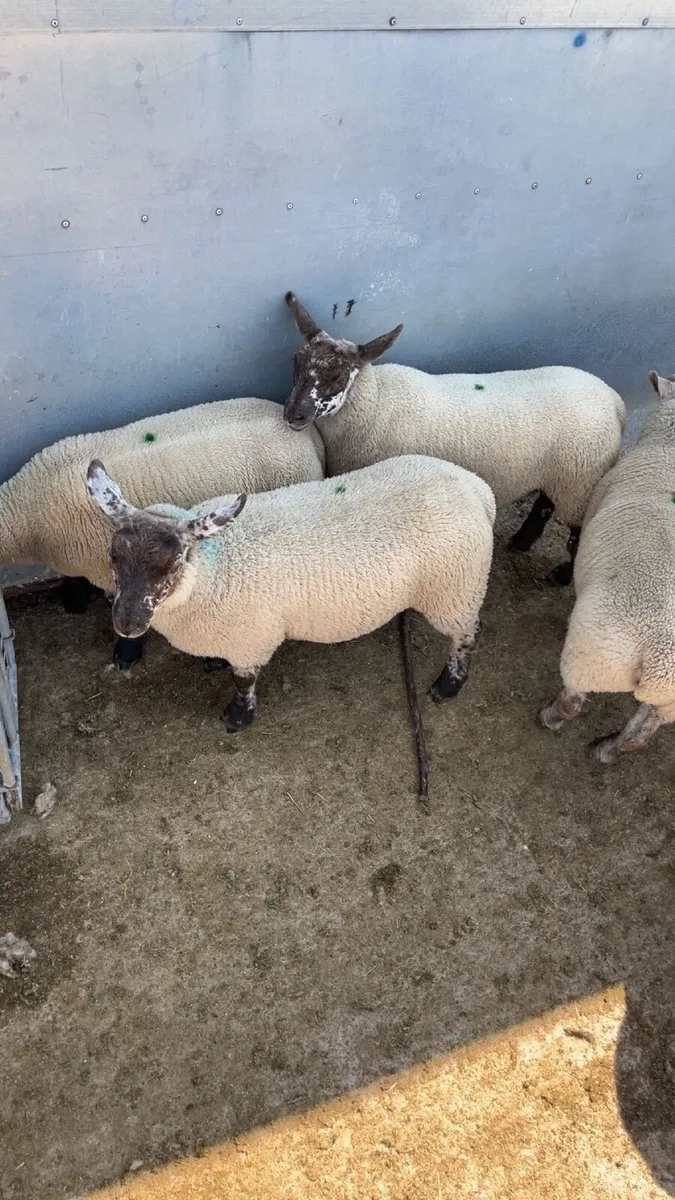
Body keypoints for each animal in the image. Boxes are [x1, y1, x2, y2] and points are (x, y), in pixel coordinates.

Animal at [85, 454, 496, 790]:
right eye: (113, 556)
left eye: (173, 563)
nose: (127, 623)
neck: (213, 568)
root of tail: (478, 489)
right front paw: (213, 663)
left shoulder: (250, 639)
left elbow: (244, 681)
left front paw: (237, 717)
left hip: (456, 590)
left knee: (466, 635)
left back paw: (449, 685)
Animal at [282, 292, 626, 585]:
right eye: (296, 361)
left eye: (338, 376)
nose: (293, 414)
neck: (375, 402)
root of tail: (614, 400)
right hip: (565, 475)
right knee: (544, 504)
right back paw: (521, 540)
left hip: (581, 479)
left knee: (576, 531)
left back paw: (563, 575)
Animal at [540, 370, 675, 763]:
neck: (669, 446)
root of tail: (658, 662)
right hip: (668, 702)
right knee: (641, 733)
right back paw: (608, 750)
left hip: (594, 657)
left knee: (573, 702)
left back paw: (550, 717)